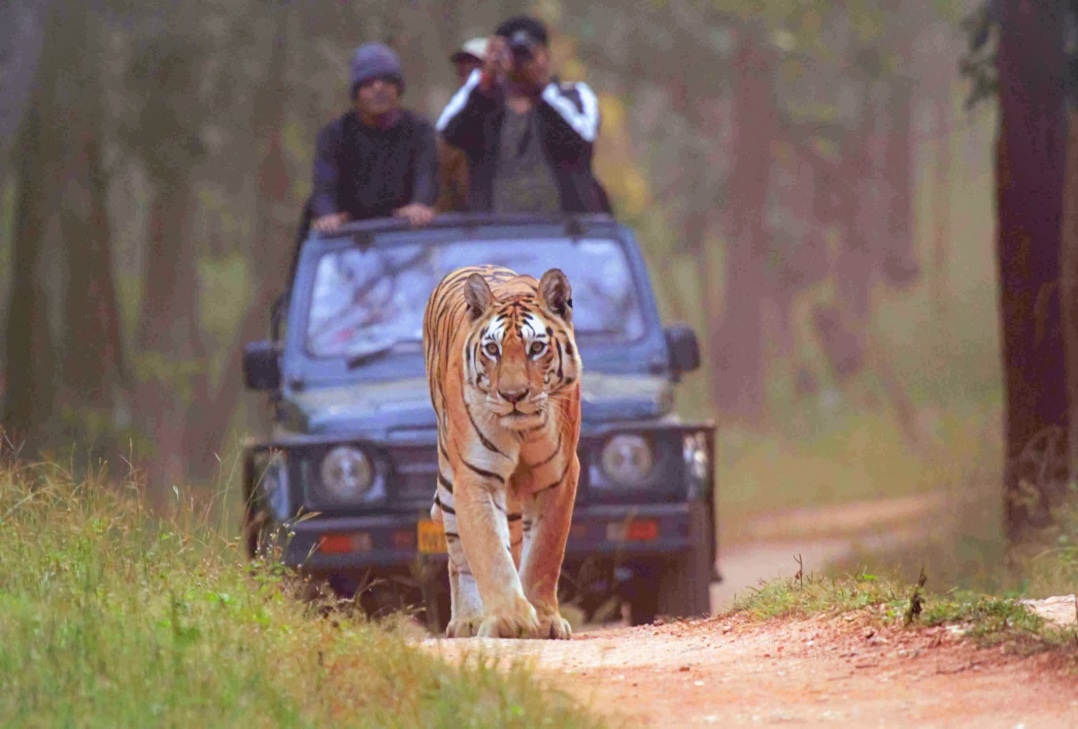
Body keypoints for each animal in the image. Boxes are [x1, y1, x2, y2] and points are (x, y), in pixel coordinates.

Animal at [422, 265, 582, 640]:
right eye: (492, 349)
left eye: (536, 348)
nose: (512, 395)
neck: (522, 431)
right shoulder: (475, 475)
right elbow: (490, 552)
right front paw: (511, 621)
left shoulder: (559, 476)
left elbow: (544, 554)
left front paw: (545, 619)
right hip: (449, 482)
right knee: (460, 558)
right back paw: (468, 620)